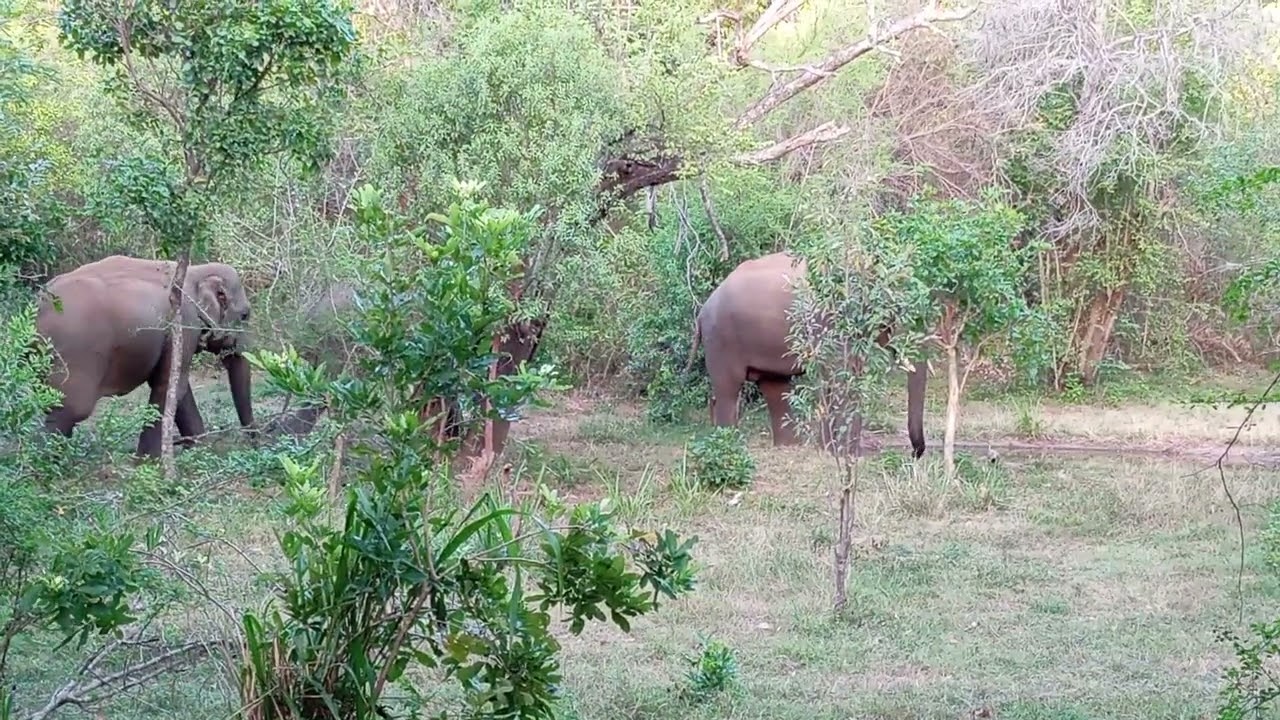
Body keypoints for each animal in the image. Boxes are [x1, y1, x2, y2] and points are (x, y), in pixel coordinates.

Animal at [36, 254, 257, 457]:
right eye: (245, 315)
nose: (253, 443)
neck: (196, 271)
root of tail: (39, 306)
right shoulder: (184, 322)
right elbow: (169, 386)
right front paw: (149, 461)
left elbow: (178, 387)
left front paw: (198, 452)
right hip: (76, 356)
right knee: (71, 409)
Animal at [688, 250, 928, 457]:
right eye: (898, 311)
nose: (915, 453)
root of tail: (701, 311)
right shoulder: (830, 324)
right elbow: (839, 375)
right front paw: (846, 454)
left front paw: (831, 451)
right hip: (721, 339)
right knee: (729, 389)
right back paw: (730, 446)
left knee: (774, 385)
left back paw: (787, 446)